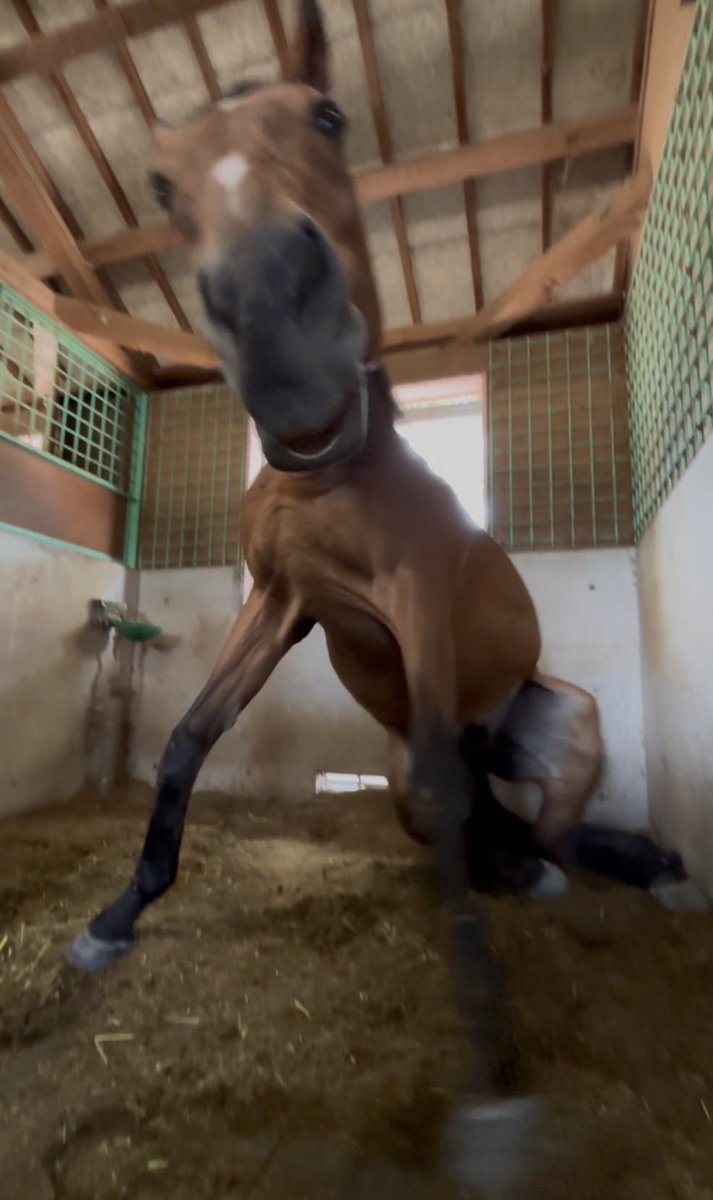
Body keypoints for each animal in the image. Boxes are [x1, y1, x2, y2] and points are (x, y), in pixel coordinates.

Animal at [65, 1, 645, 1189]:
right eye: (159, 184)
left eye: (328, 117)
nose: (276, 321)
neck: (328, 472)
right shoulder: (283, 605)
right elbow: (187, 741)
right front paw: (118, 914)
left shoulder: (412, 608)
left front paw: (495, 1080)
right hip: (412, 774)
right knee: (464, 810)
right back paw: (508, 862)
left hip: (562, 731)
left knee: (536, 833)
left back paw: (557, 872)